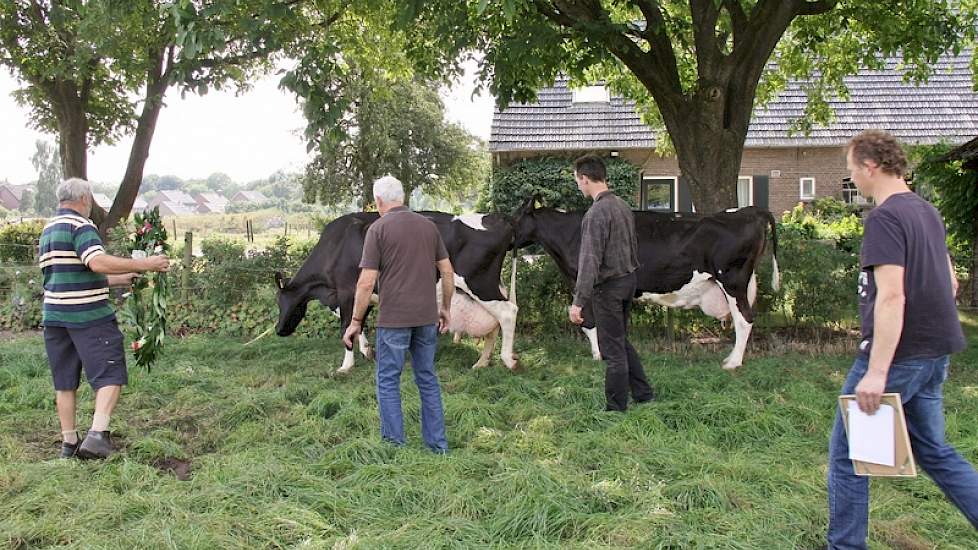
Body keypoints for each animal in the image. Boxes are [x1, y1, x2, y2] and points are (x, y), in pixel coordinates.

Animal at [272, 208, 528, 376]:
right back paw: (482, 362)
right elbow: (359, 323)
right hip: (488, 285)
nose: (278, 330)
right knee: (494, 322)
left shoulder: (347, 291)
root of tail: (499, 218)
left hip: (479, 283)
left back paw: (508, 360)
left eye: (280, 301)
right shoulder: (364, 294)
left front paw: (346, 365)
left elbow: (346, 327)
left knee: (508, 312)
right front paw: (367, 351)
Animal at [510, 207, 776, 370]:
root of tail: (749, 210)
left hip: (732, 280)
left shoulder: (587, 285)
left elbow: (591, 324)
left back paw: (733, 363)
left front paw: (599, 356)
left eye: (511, 217)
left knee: (744, 320)